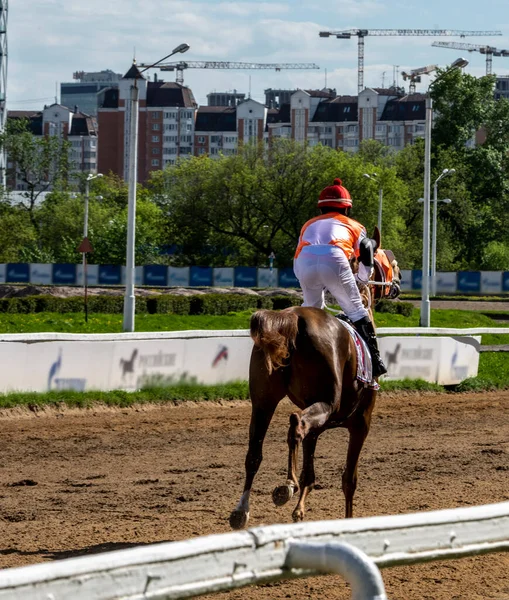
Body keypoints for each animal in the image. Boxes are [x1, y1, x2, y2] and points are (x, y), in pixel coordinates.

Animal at [230, 239, 400, 528]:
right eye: (391, 262)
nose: (397, 284)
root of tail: (293, 319)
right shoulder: (361, 422)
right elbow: (349, 479)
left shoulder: (318, 427)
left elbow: (310, 471)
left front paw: (299, 511)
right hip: (325, 403)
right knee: (296, 423)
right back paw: (286, 485)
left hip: (263, 402)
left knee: (254, 453)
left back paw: (242, 510)